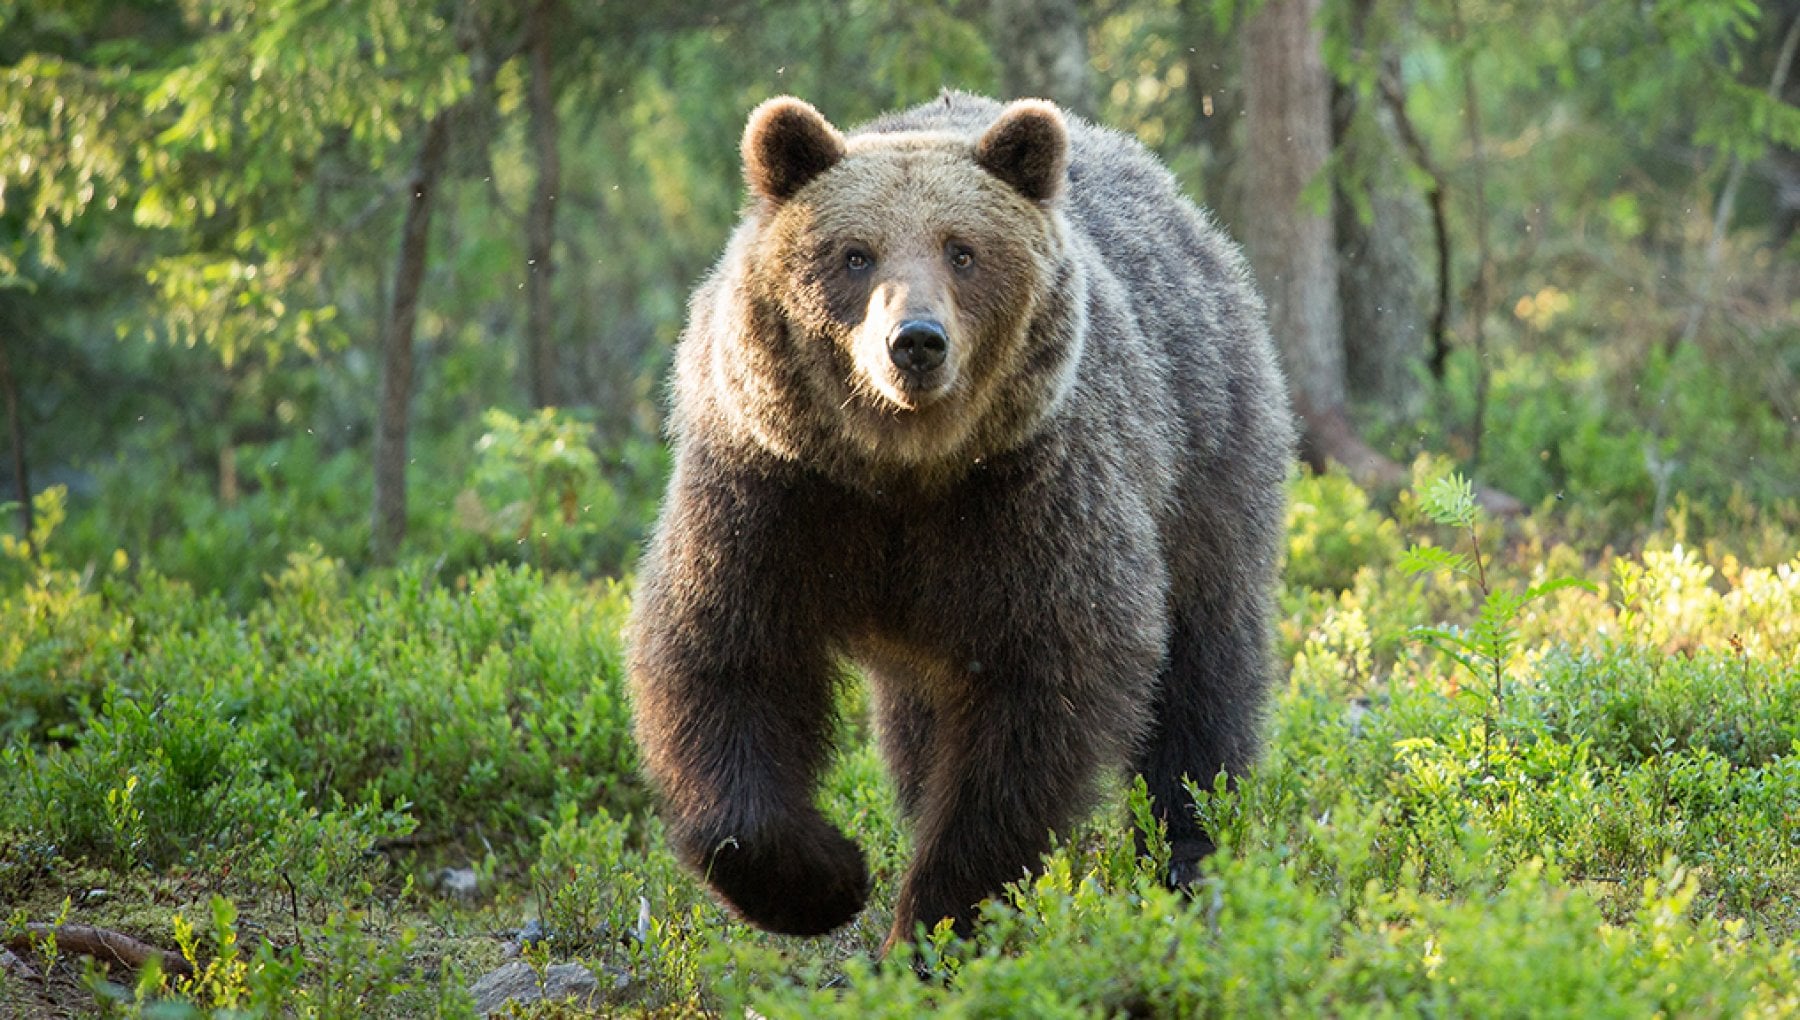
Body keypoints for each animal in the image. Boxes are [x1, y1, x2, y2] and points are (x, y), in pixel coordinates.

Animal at [626, 91, 1288, 957]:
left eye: (963, 251)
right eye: (855, 254)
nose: (916, 342)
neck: (903, 471)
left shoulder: (1029, 500)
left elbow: (1035, 708)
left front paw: (934, 924)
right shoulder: (775, 492)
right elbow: (724, 659)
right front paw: (825, 877)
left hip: (1203, 460)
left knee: (1203, 675)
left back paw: (1190, 854)